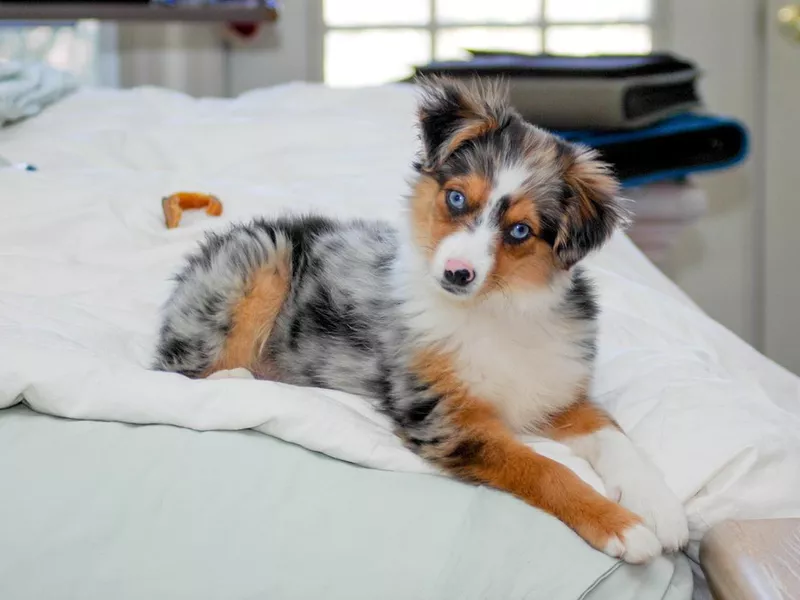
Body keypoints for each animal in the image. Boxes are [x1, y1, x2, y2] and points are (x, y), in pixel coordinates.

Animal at [155, 76, 688, 564]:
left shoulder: (557, 391)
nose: (456, 274)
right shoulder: (447, 419)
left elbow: (616, 436)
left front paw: (661, 507)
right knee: (186, 370)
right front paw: (621, 526)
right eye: (456, 198)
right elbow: (543, 468)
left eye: (520, 230)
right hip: (262, 259)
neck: (495, 308)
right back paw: (243, 381)